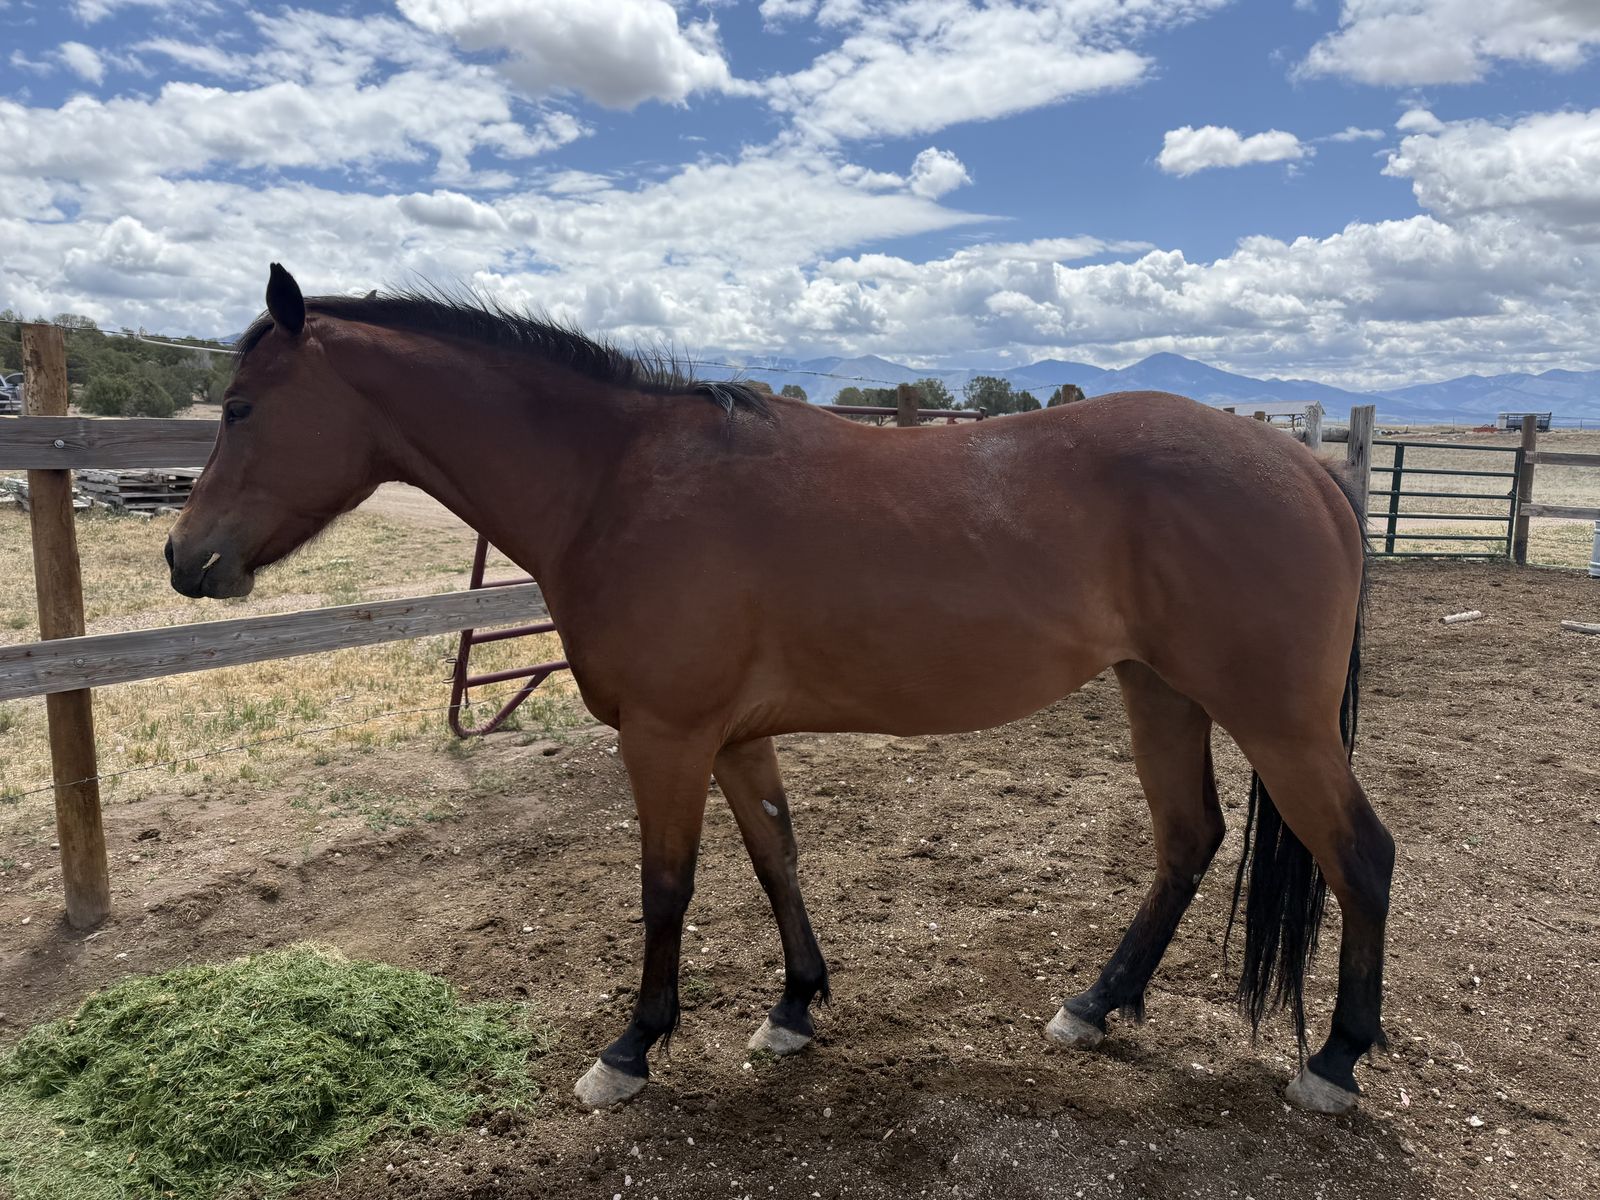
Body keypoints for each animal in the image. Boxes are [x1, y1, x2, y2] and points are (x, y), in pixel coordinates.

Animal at [167, 264, 1393, 1115]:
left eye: (238, 408)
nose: (187, 559)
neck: (614, 482)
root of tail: (1304, 467)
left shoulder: (664, 736)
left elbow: (666, 888)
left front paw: (631, 1050)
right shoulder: (731, 735)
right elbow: (776, 857)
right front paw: (795, 1008)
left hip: (1276, 721)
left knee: (1360, 855)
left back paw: (1334, 1062)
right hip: (1160, 692)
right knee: (1189, 838)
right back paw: (1094, 1006)